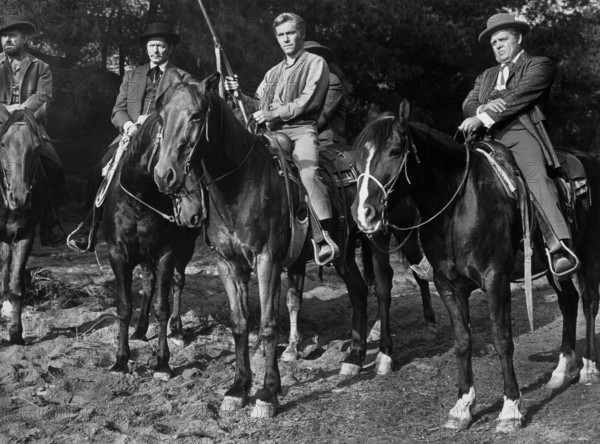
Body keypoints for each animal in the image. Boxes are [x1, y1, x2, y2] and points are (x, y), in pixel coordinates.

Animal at [105, 112, 202, 380]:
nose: (195, 212)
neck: (139, 201)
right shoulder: (118, 255)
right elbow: (124, 306)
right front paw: (120, 360)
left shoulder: (165, 254)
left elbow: (162, 307)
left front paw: (162, 364)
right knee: (148, 283)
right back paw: (140, 329)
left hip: (184, 248)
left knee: (178, 282)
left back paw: (177, 330)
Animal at [352, 99, 600, 430]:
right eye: (356, 157)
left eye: (394, 151)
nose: (363, 214)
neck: (458, 204)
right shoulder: (448, 285)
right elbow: (462, 341)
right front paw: (462, 406)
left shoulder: (496, 280)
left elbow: (502, 340)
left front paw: (510, 409)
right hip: (554, 267)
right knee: (569, 302)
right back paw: (562, 370)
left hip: (590, 251)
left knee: (589, 301)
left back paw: (588, 368)